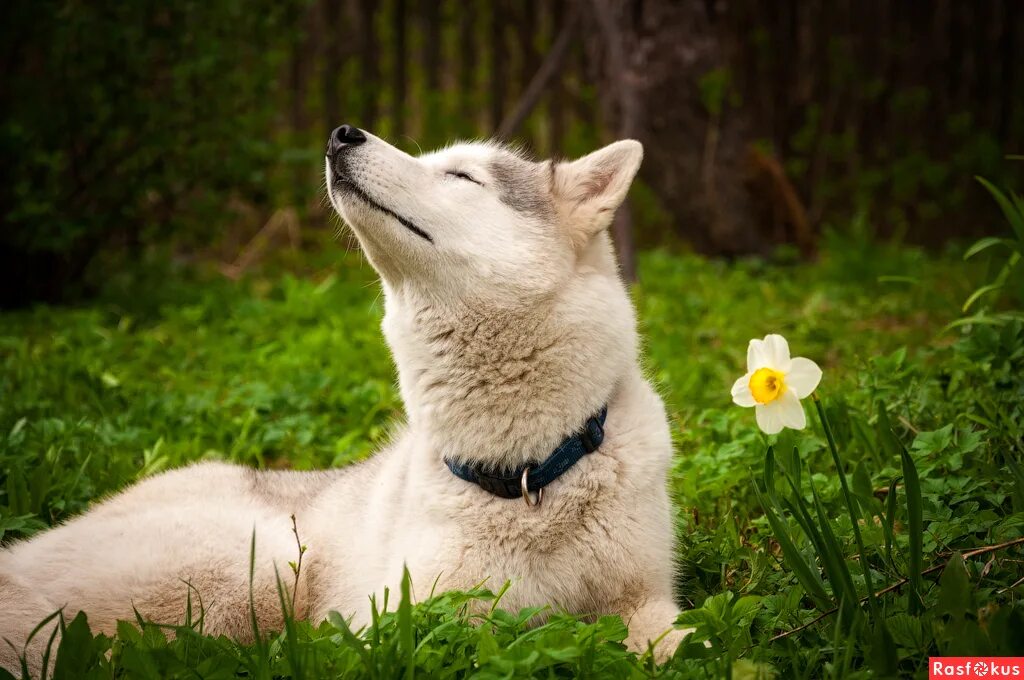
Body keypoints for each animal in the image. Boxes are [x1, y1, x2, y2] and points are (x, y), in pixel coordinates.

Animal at [0, 125, 692, 667]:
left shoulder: (647, 598)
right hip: (261, 566)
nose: (341, 135)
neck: (526, 477)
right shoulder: (412, 619)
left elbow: (687, 641)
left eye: (461, 176)